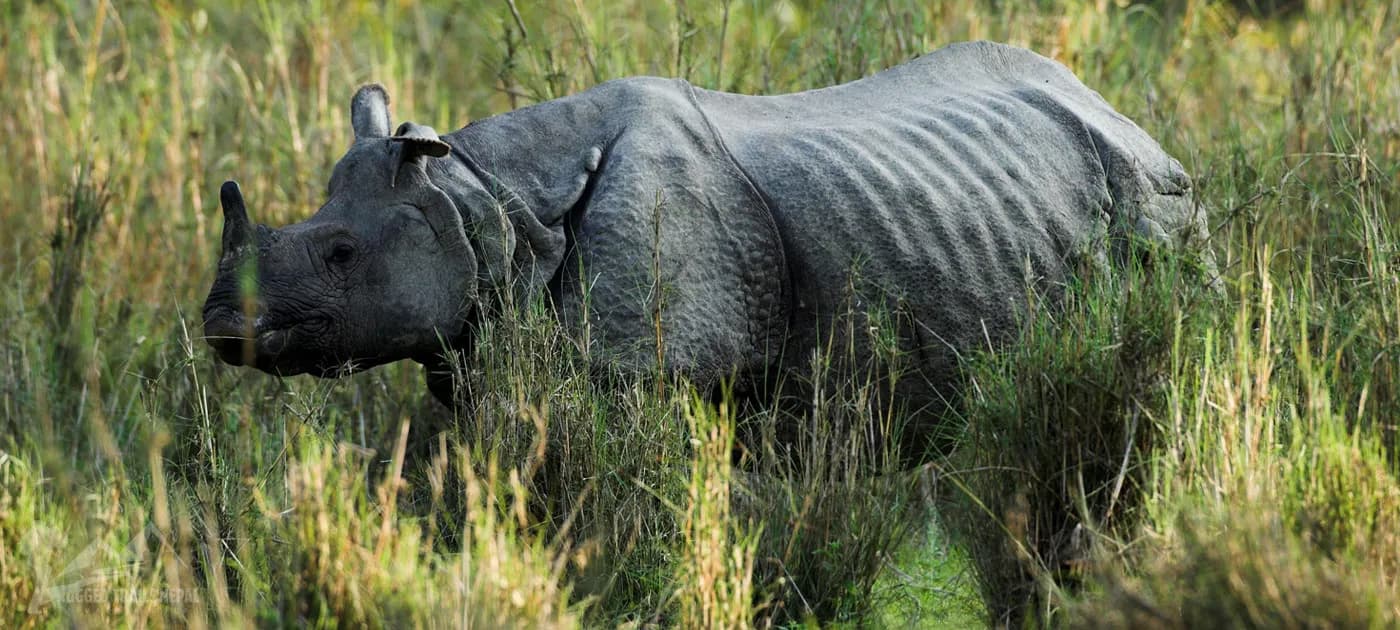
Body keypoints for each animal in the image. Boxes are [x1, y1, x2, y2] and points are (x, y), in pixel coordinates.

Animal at [203, 41, 1207, 428]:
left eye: (341, 255)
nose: (219, 325)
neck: (486, 200)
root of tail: (1121, 111)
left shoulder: (656, 353)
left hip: (1157, 197)